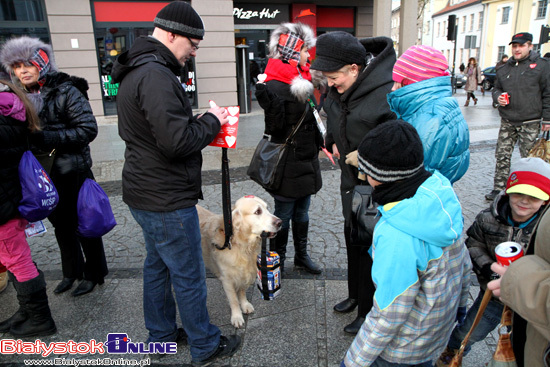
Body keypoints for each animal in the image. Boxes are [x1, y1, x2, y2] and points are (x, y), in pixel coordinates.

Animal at [197, 197, 282, 330]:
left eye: (267, 208)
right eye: (258, 211)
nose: (280, 222)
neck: (243, 246)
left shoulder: (244, 273)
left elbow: (241, 292)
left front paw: (245, 305)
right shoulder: (227, 280)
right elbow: (234, 300)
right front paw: (237, 317)